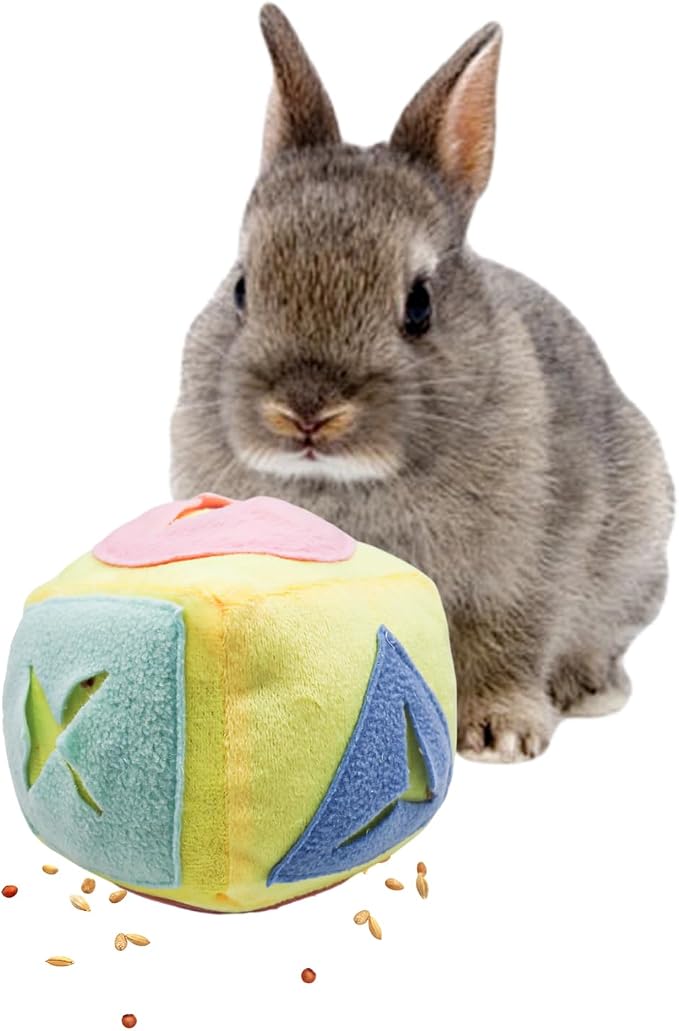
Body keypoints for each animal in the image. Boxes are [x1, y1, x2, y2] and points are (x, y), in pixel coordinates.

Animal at [171, 4, 674, 762]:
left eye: (419, 304)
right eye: (241, 289)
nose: (307, 412)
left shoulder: (520, 573)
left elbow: (507, 643)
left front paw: (499, 734)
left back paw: (588, 688)